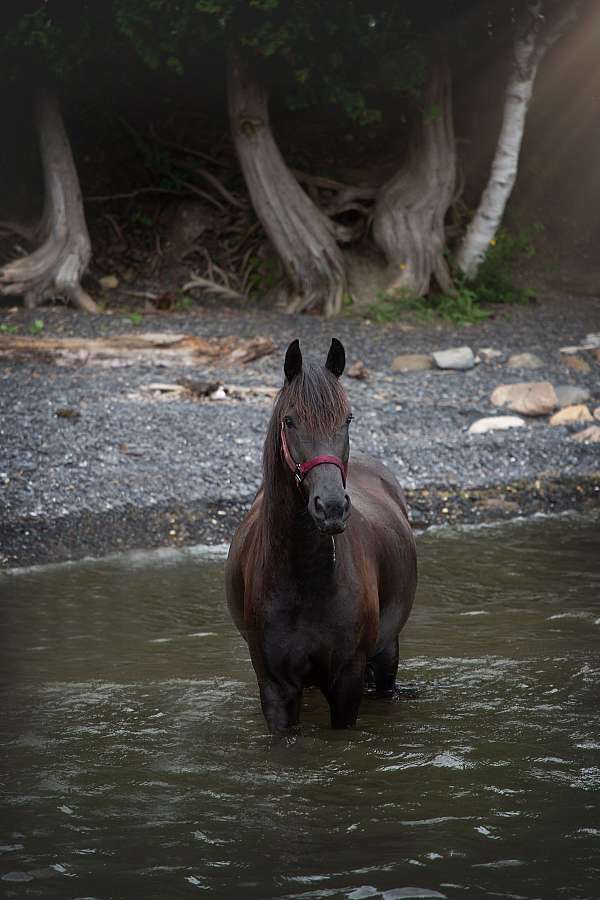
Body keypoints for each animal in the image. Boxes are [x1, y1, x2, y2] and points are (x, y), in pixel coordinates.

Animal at [225, 338, 418, 732]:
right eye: (290, 420)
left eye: (348, 418)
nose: (330, 507)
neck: (304, 580)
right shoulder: (276, 688)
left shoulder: (347, 681)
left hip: (387, 654)